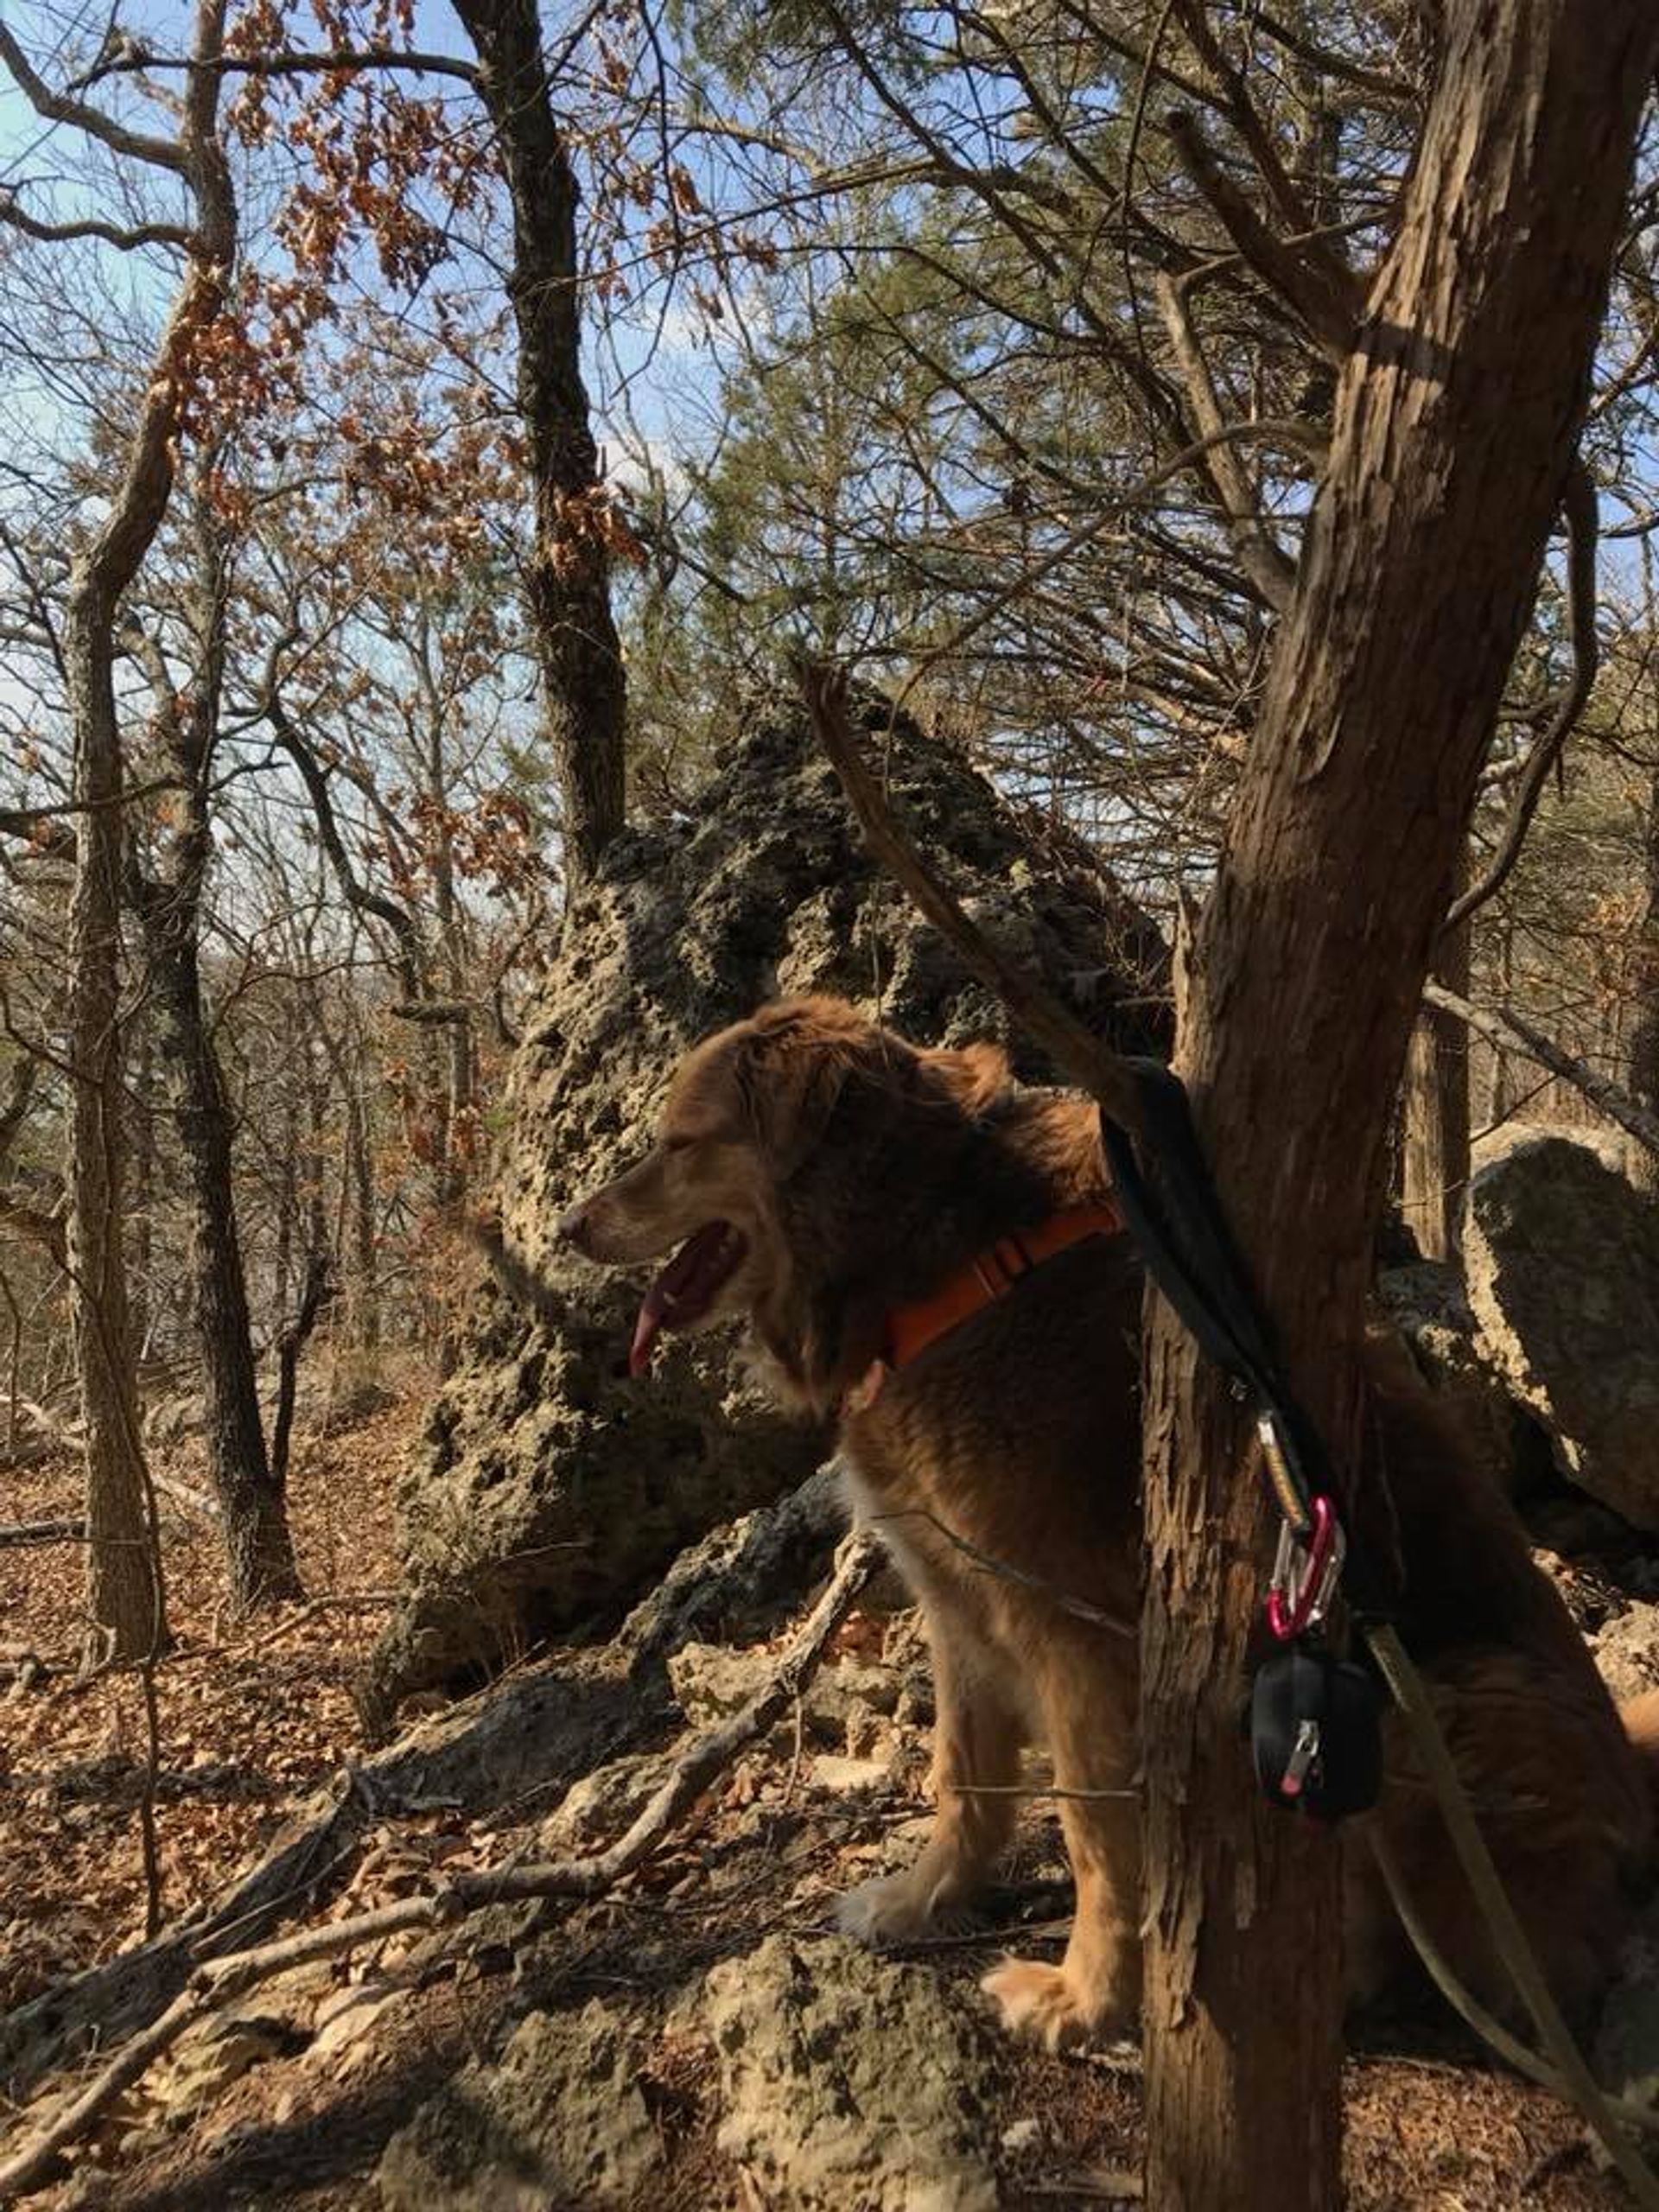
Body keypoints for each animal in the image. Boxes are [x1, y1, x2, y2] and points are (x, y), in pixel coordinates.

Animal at [566, 1000, 1654, 2035]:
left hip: (1429, 1709)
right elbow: (962, 1777)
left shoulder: (1074, 1637)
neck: (939, 1251)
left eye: (678, 1142)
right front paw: (924, 1901)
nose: (570, 1227)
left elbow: (1096, 1836)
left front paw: (1088, 1997)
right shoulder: (957, 1598)